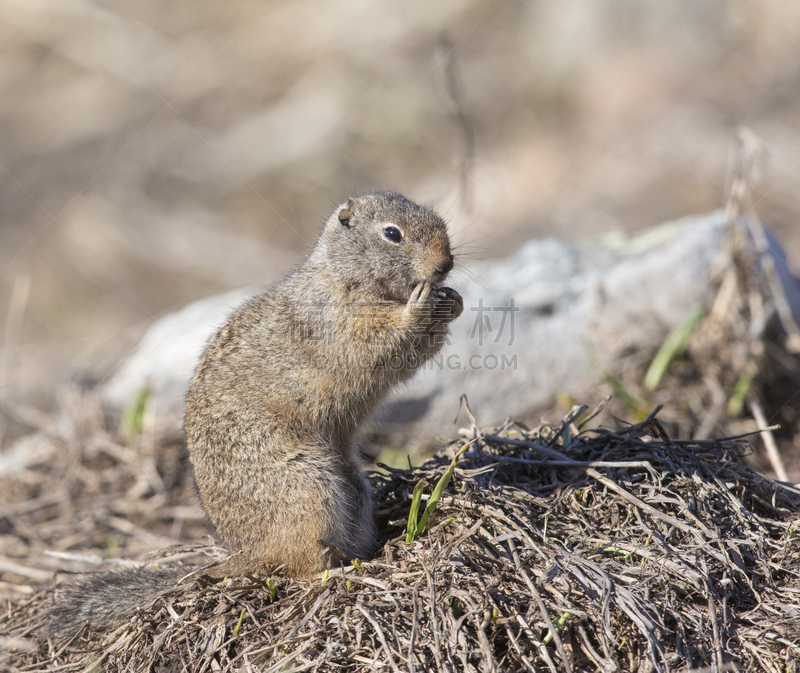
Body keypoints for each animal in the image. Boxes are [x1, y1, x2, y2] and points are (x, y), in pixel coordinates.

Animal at [50, 193, 462, 636]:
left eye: (439, 221)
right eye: (392, 234)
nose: (445, 264)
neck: (341, 277)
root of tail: (240, 553)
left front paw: (452, 301)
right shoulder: (340, 322)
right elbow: (378, 341)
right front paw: (420, 305)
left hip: (353, 490)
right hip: (307, 491)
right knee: (298, 566)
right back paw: (340, 572)